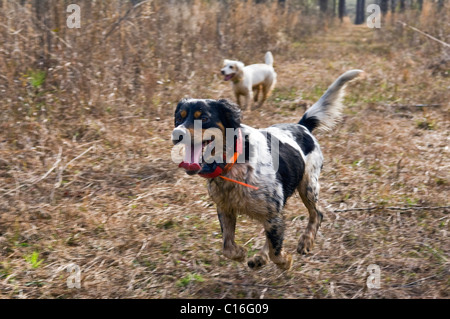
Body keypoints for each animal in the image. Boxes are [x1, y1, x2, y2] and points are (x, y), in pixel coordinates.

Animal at [171, 70, 362, 270]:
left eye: (204, 118)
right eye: (179, 118)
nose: (177, 133)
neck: (234, 163)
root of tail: (302, 126)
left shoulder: (272, 213)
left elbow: (276, 251)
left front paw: (286, 261)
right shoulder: (225, 208)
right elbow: (228, 247)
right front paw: (241, 253)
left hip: (308, 186)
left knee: (317, 214)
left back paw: (305, 242)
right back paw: (260, 258)